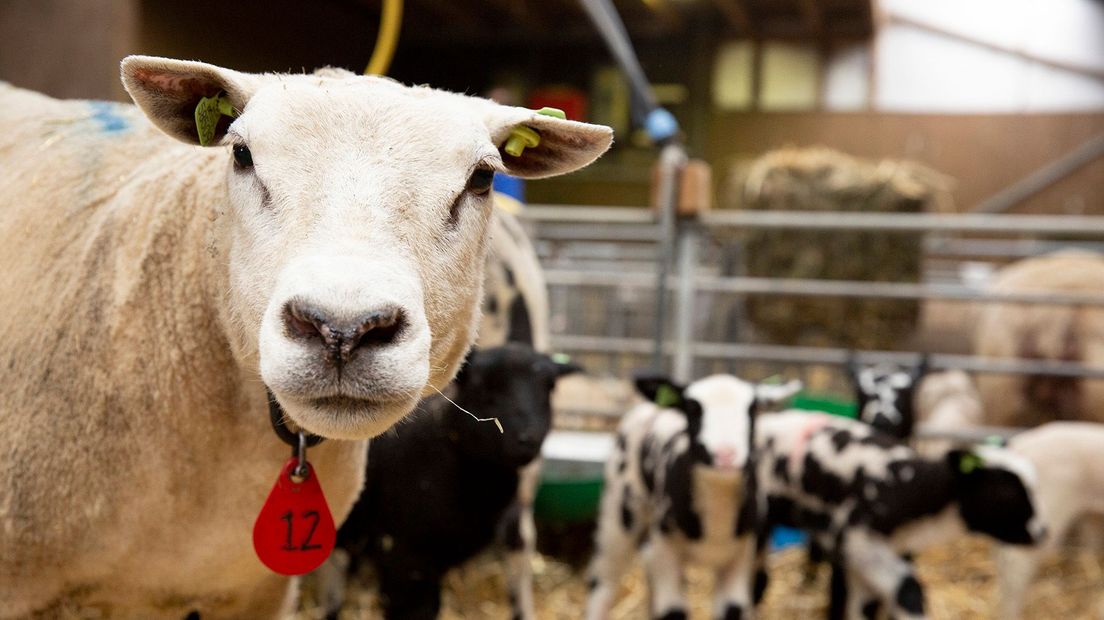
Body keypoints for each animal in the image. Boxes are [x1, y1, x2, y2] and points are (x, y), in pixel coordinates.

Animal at [587, 370, 803, 617]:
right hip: (620, 505)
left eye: (753, 408)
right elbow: (672, 613)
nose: (725, 455)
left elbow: (733, 610)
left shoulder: (741, 557)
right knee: (603, 583)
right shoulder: (667, 550)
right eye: (692, 408)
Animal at [755, 408, 1046, 613]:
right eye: (1006, 492)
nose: (1043, 533)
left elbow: (866, 606)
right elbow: (908, 591)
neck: (904, 485)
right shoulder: (856, 540)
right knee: (760, 580)